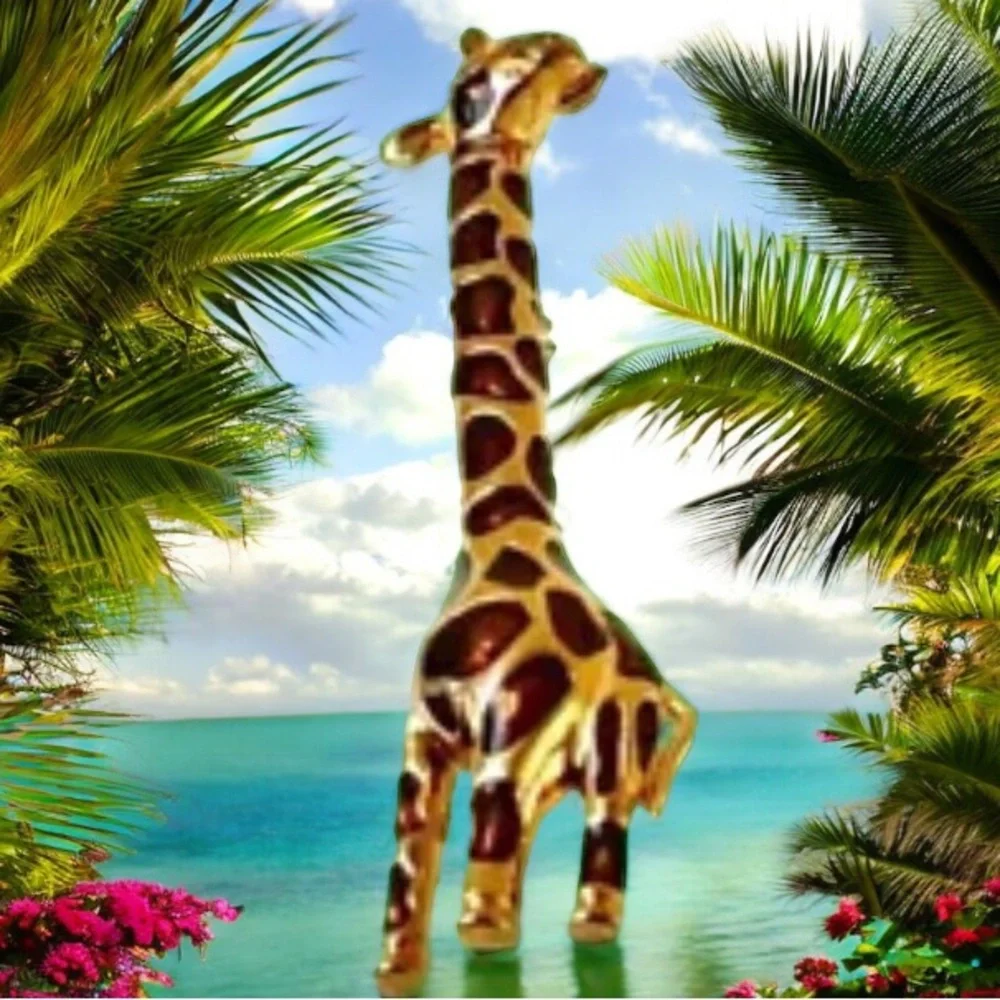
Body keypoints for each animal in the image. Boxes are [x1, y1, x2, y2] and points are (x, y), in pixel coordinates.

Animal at [375, 27, 698, 998]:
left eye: (539, 59)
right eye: (472, 85)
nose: (569, 48)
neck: (500, 531)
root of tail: (654, 682)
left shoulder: (502, 758)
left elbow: (484, 935)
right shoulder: (427, 751)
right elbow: (403, 937)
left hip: (598, 788)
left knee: (592, 913)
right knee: (584, 913)